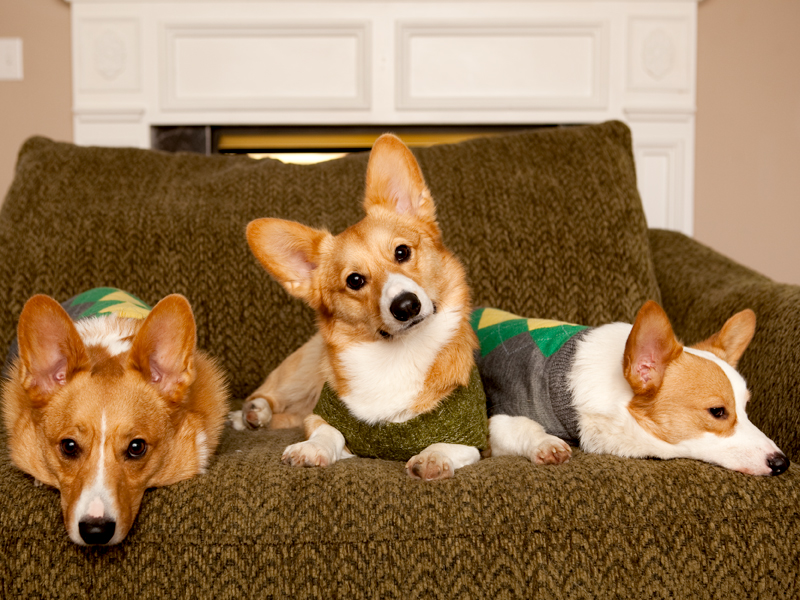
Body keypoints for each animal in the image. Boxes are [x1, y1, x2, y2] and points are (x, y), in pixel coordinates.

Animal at [231, 134, 482, 480]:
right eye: (354, 280)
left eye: (402, 252)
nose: (406, 305)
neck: (399, 355)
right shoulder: (322, 415)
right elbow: (327, 432)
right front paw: (312, 449)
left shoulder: (476, 439)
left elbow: (450, 444)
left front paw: (433, 456)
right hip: (302, 373)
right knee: (267, 396)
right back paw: (252, 414)